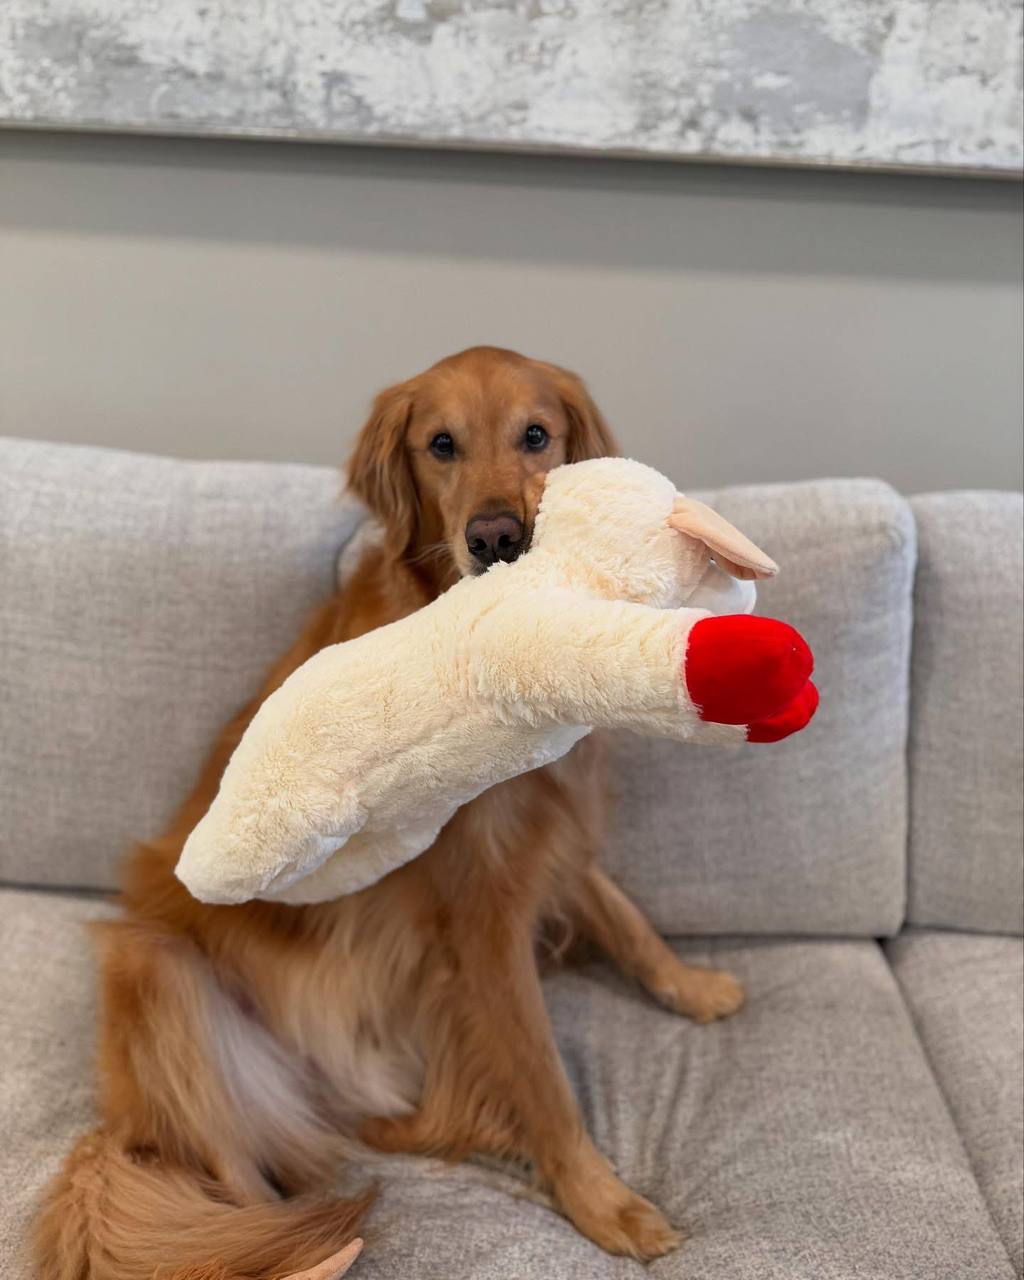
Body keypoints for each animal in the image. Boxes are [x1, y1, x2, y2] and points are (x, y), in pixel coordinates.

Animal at [32, 346, 745, 1280]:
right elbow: (543, 1075)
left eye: (537, 435)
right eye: (440, 444)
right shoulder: (479, 917)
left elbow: (625, 917)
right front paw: (605, 1202)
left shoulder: (544, 838)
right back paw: (308, 1249)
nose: (497, 538)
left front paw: (691, 985)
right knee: (222, 1190)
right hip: (155, 971)